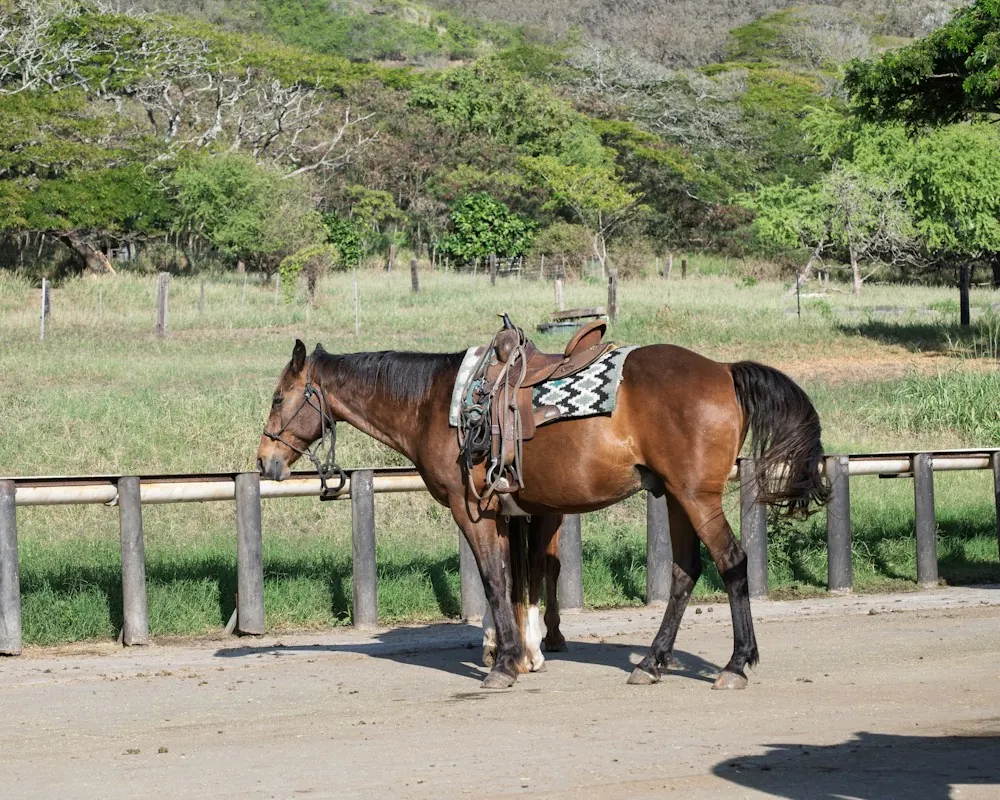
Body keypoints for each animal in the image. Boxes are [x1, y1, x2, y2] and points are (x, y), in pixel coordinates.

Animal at [257, 336, 828, 690]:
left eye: (279, 397)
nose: (264, 460)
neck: (438, 404)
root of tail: (725, 371)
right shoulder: (508, 513)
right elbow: (510, 581)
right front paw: (513, 653)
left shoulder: (473, 512)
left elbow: (494, 581)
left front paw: (506, 664)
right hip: (676, 497)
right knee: (686, 572)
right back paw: (651, 661)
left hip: (696, 497)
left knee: (732, 563)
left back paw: (736, 663)